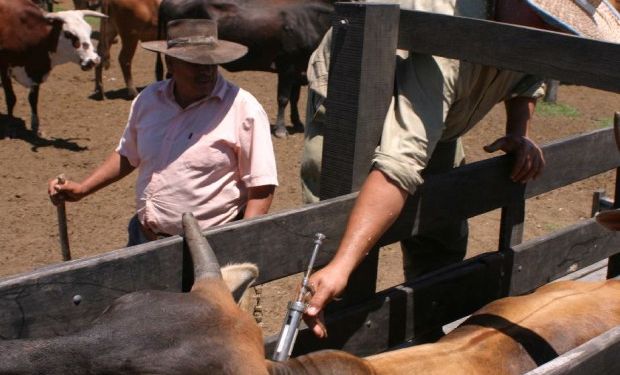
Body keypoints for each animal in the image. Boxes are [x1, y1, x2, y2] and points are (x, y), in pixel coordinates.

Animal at [0, 0, 105, 136]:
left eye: (89, 31)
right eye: (68, 34)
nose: (94, 60)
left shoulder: (36, 73)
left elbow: (33, 99)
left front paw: (35, 126)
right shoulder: (4, 68)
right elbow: (11, 98)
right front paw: (10, 127)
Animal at [157, 0, 336, 138]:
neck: (311, 20)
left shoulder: (298, 69)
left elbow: (294, 97)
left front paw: (298, 122)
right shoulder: (287, 66)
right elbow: (283, 98)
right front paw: (280, 129)